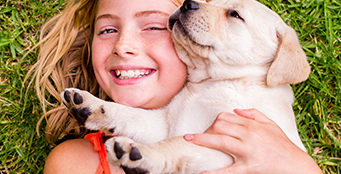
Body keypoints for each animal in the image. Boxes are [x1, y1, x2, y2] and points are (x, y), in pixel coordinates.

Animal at [60, 0, 308, 173]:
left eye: (235, 14)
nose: (188, 3)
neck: (213, 83)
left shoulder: (228, 149)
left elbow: (176, 145)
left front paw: (141, 153)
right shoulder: (165, 122)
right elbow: (132, 114)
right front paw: (92, 106)